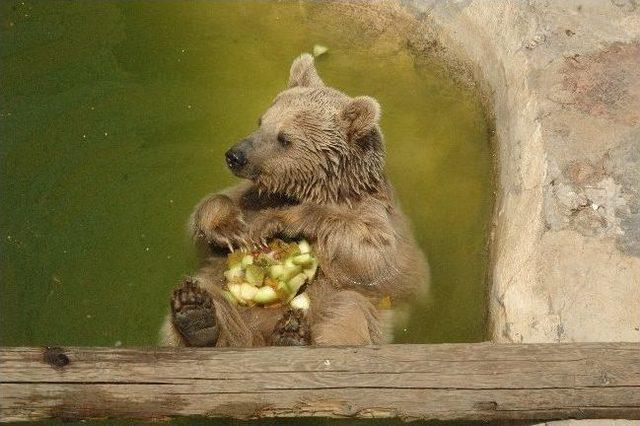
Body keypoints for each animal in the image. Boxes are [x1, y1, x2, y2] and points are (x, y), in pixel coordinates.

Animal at [160, 53, 430, 346]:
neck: (310, 188)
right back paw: (196, 315)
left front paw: (276, 222)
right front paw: (230, 228)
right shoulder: (252, 195)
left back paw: (290, 335)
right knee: (212, 298)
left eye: (285, 138)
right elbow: (205, 218)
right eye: (261, 121)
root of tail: (258, 339)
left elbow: (374, 253)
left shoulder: (375, 213)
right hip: (231, 309)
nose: (235, 155)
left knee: (346, 312)